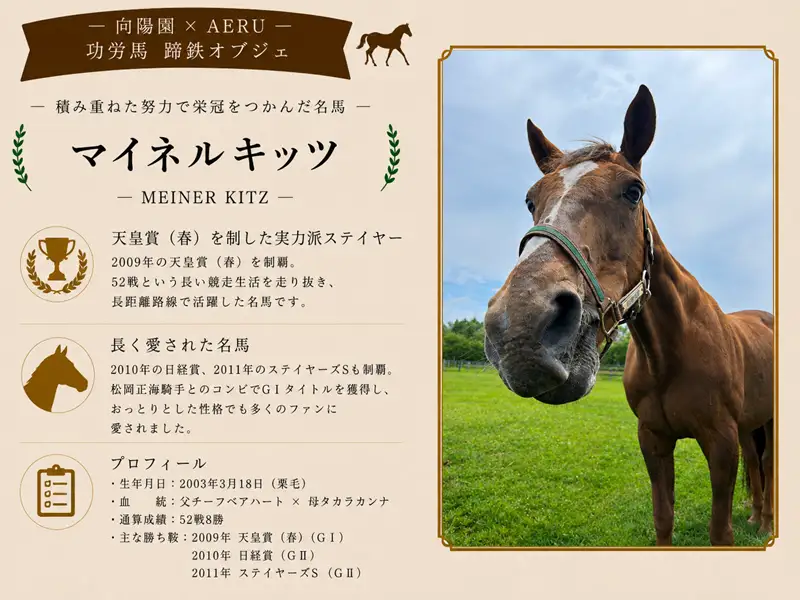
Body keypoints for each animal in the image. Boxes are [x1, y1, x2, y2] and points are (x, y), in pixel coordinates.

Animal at [483, 84, 774, 546]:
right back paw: (757, 517)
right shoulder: (653, 440)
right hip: (751, 426)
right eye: (531, 200)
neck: (671, 355)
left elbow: (720, 532)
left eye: (633, 191)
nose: (519, 329)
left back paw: (764, 524)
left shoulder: (721, 443)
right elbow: (663, 519)